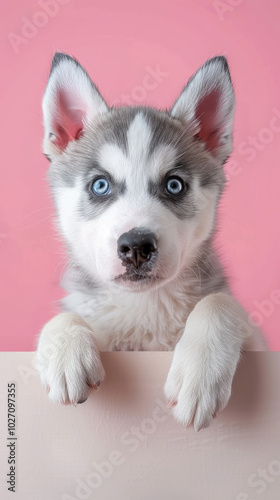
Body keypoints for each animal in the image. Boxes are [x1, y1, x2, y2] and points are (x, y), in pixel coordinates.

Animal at [36, 53, 266, 430]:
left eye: (174, 185)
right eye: (100, 185)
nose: (136, 247)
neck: (144, 306)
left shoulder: (260, 342)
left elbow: (219, 303)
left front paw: (199, 373)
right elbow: (64, 315)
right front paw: (65, 350)